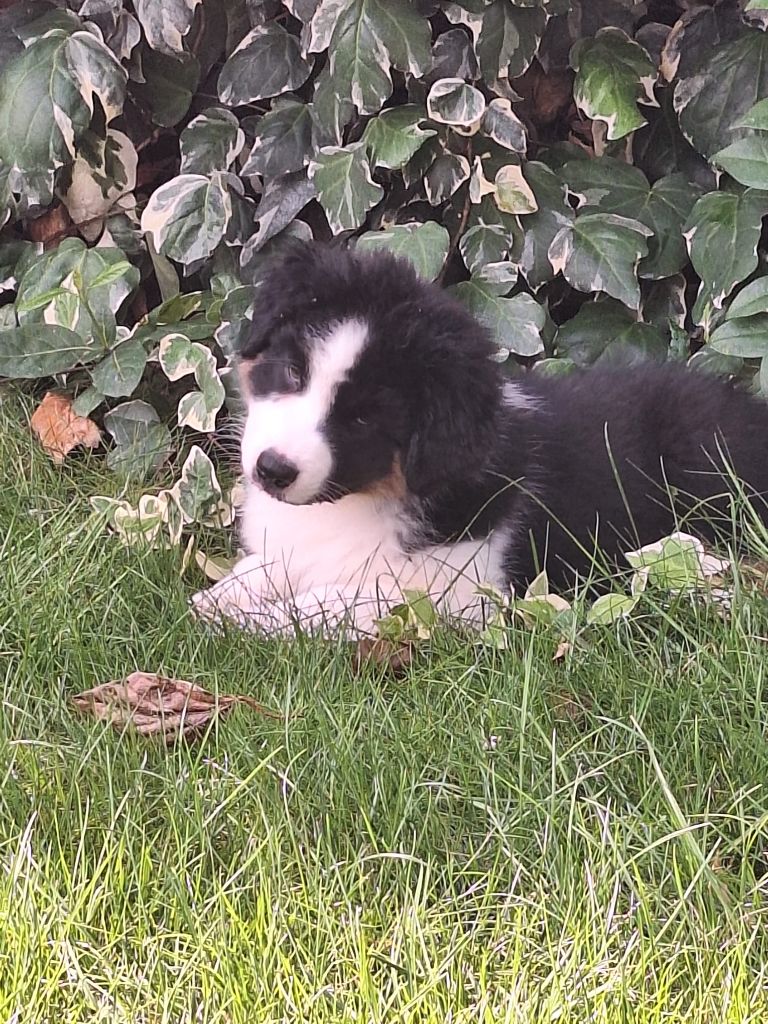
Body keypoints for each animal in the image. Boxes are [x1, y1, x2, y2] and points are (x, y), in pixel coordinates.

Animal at [192, 242, 768, 636]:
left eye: (363, 419)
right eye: (293, 372)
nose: (272, 470)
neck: (364, 498)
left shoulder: (459, 595)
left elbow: (337, 602)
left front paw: (256, 622)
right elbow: (263, 569)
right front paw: (217, 601)